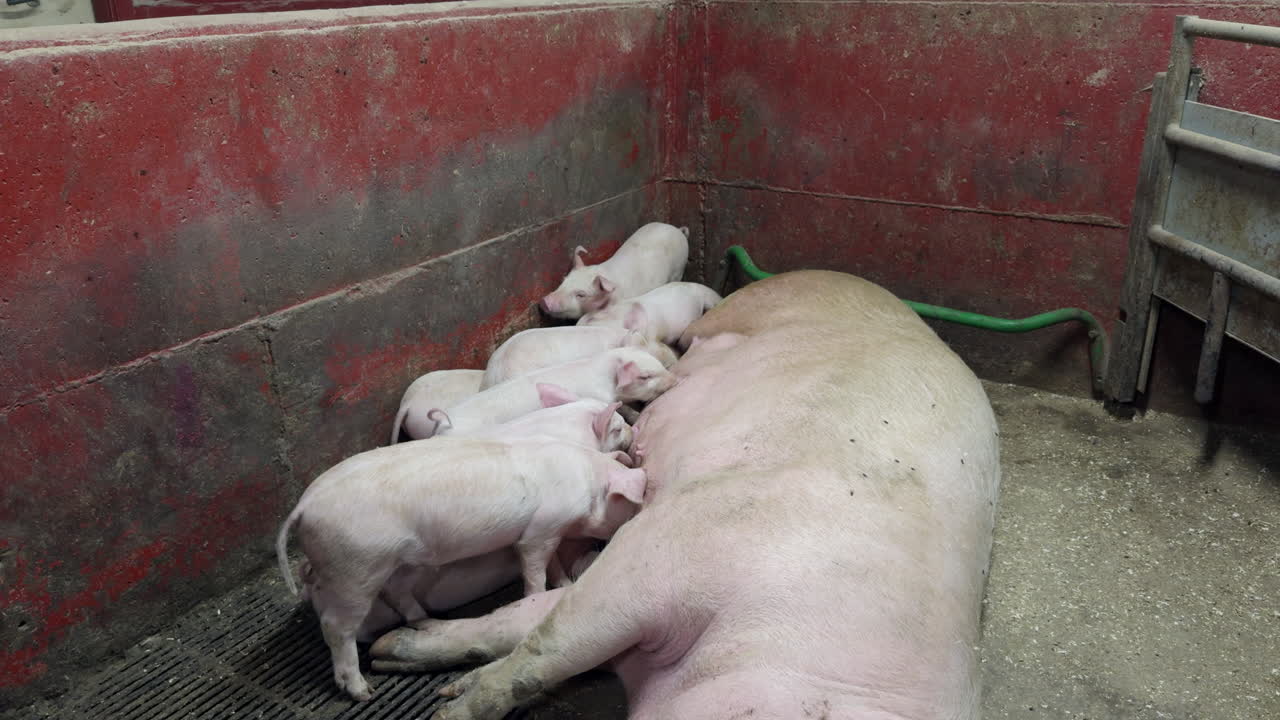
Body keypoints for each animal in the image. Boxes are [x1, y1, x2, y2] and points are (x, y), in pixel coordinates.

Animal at [275, 436, 648, 701]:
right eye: (631, 504)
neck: (586, 484)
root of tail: (303, 508)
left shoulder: (548, 531)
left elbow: (551, 562)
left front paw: (564, 580)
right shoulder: (540, 531)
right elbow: (533, 570)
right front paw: (539, 592)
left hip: (397, 562)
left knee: (396, 593)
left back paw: (426, 621)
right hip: (354, 567)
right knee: (336, 626)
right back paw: (362, 692)